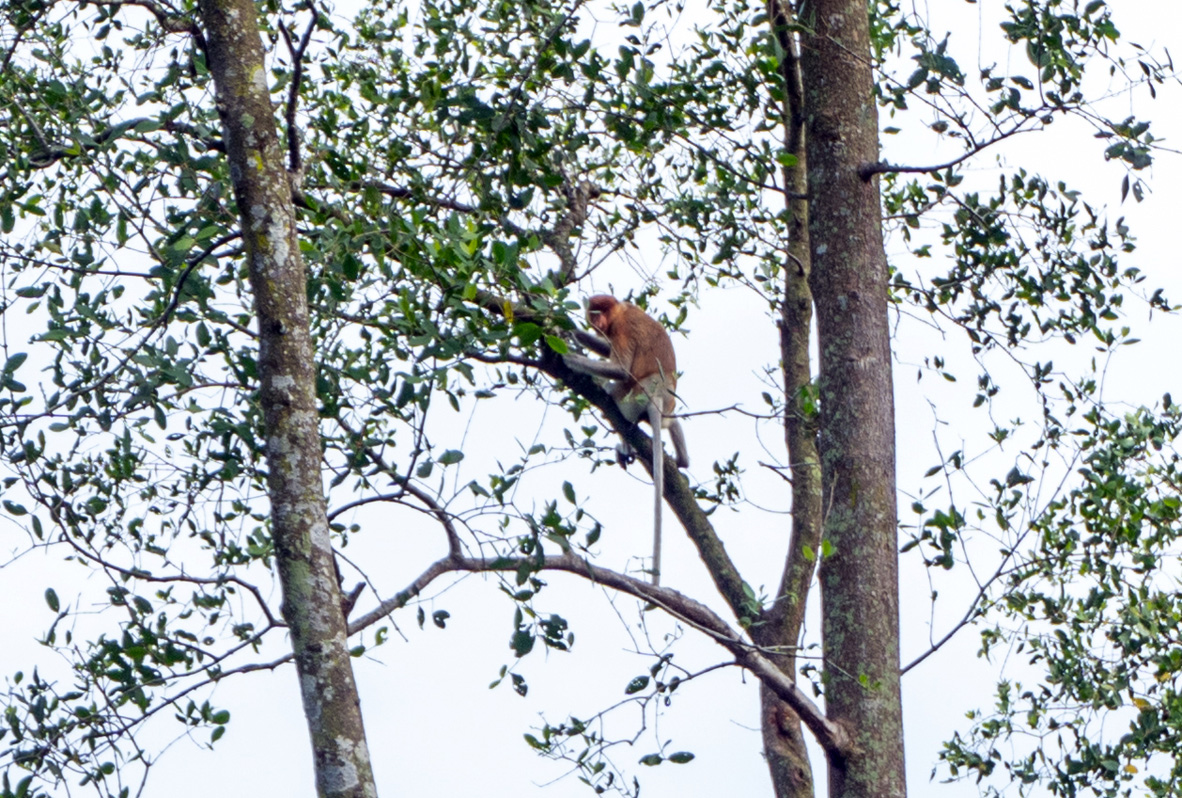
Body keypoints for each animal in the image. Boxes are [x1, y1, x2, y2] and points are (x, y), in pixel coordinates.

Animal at [563, 295, 689, 585]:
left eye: (602, 312)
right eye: (593, 312)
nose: (596, 321)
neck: (620, 311)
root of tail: (658, 394)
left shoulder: (621, 330)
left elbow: (620, 369)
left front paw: (567, 355)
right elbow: (604, 347)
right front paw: (568, 329)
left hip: (632, 397)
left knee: (616, 401)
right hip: (663, 409)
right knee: (671, 422)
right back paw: (682, 460)